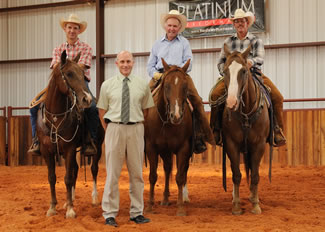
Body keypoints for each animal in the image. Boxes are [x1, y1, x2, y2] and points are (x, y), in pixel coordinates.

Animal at [36, 50, 104, 218]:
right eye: (69, 73)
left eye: (83, 73)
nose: (86, 99)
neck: (55, 118)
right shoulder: (47, 151)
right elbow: (52, 178)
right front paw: (53, 207)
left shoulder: (69, 148)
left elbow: (67, 178)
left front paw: (71, 211)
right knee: (76, 170)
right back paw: (70, 199)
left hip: (98, 147)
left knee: (93, 169)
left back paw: (94, 198)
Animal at [144, 58, 192, 216]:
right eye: (167, 86)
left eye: (185, 86)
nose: (176, 115)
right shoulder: (151, 147)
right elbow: (153, 176)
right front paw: (149, 206)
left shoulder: (184, 148)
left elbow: (180, 177)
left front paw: (181, 207)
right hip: (165, 151)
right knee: (166, 168)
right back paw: (164, 199)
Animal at [219, 44, 270, 215]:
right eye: (225, 71)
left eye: (244, 71)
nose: (231, 102)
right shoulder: (231, 144)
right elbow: (236, 174)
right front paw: (236, 206)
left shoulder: (259, 145)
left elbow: (254, 175)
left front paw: (255, 205)